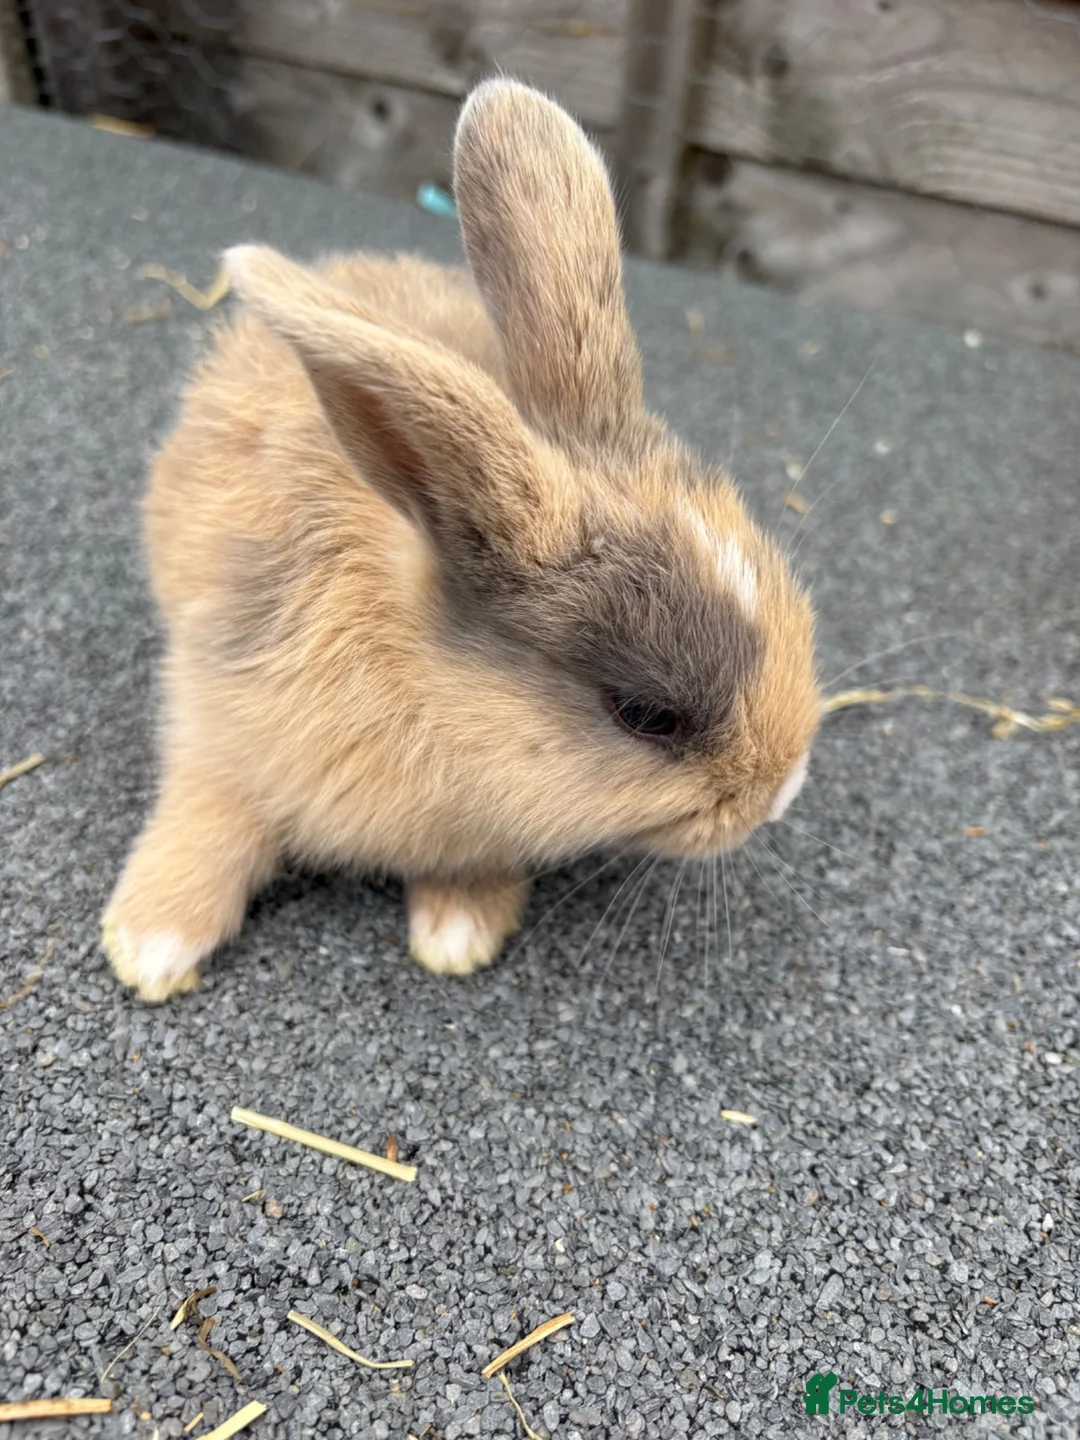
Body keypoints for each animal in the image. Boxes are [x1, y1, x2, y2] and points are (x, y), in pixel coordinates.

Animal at [101, 78, 821, 1003]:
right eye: (647, 715)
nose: (783, 789)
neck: (418, 679)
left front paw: (459, 931)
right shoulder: (216, 713)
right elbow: (208, 816)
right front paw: (150, 946)